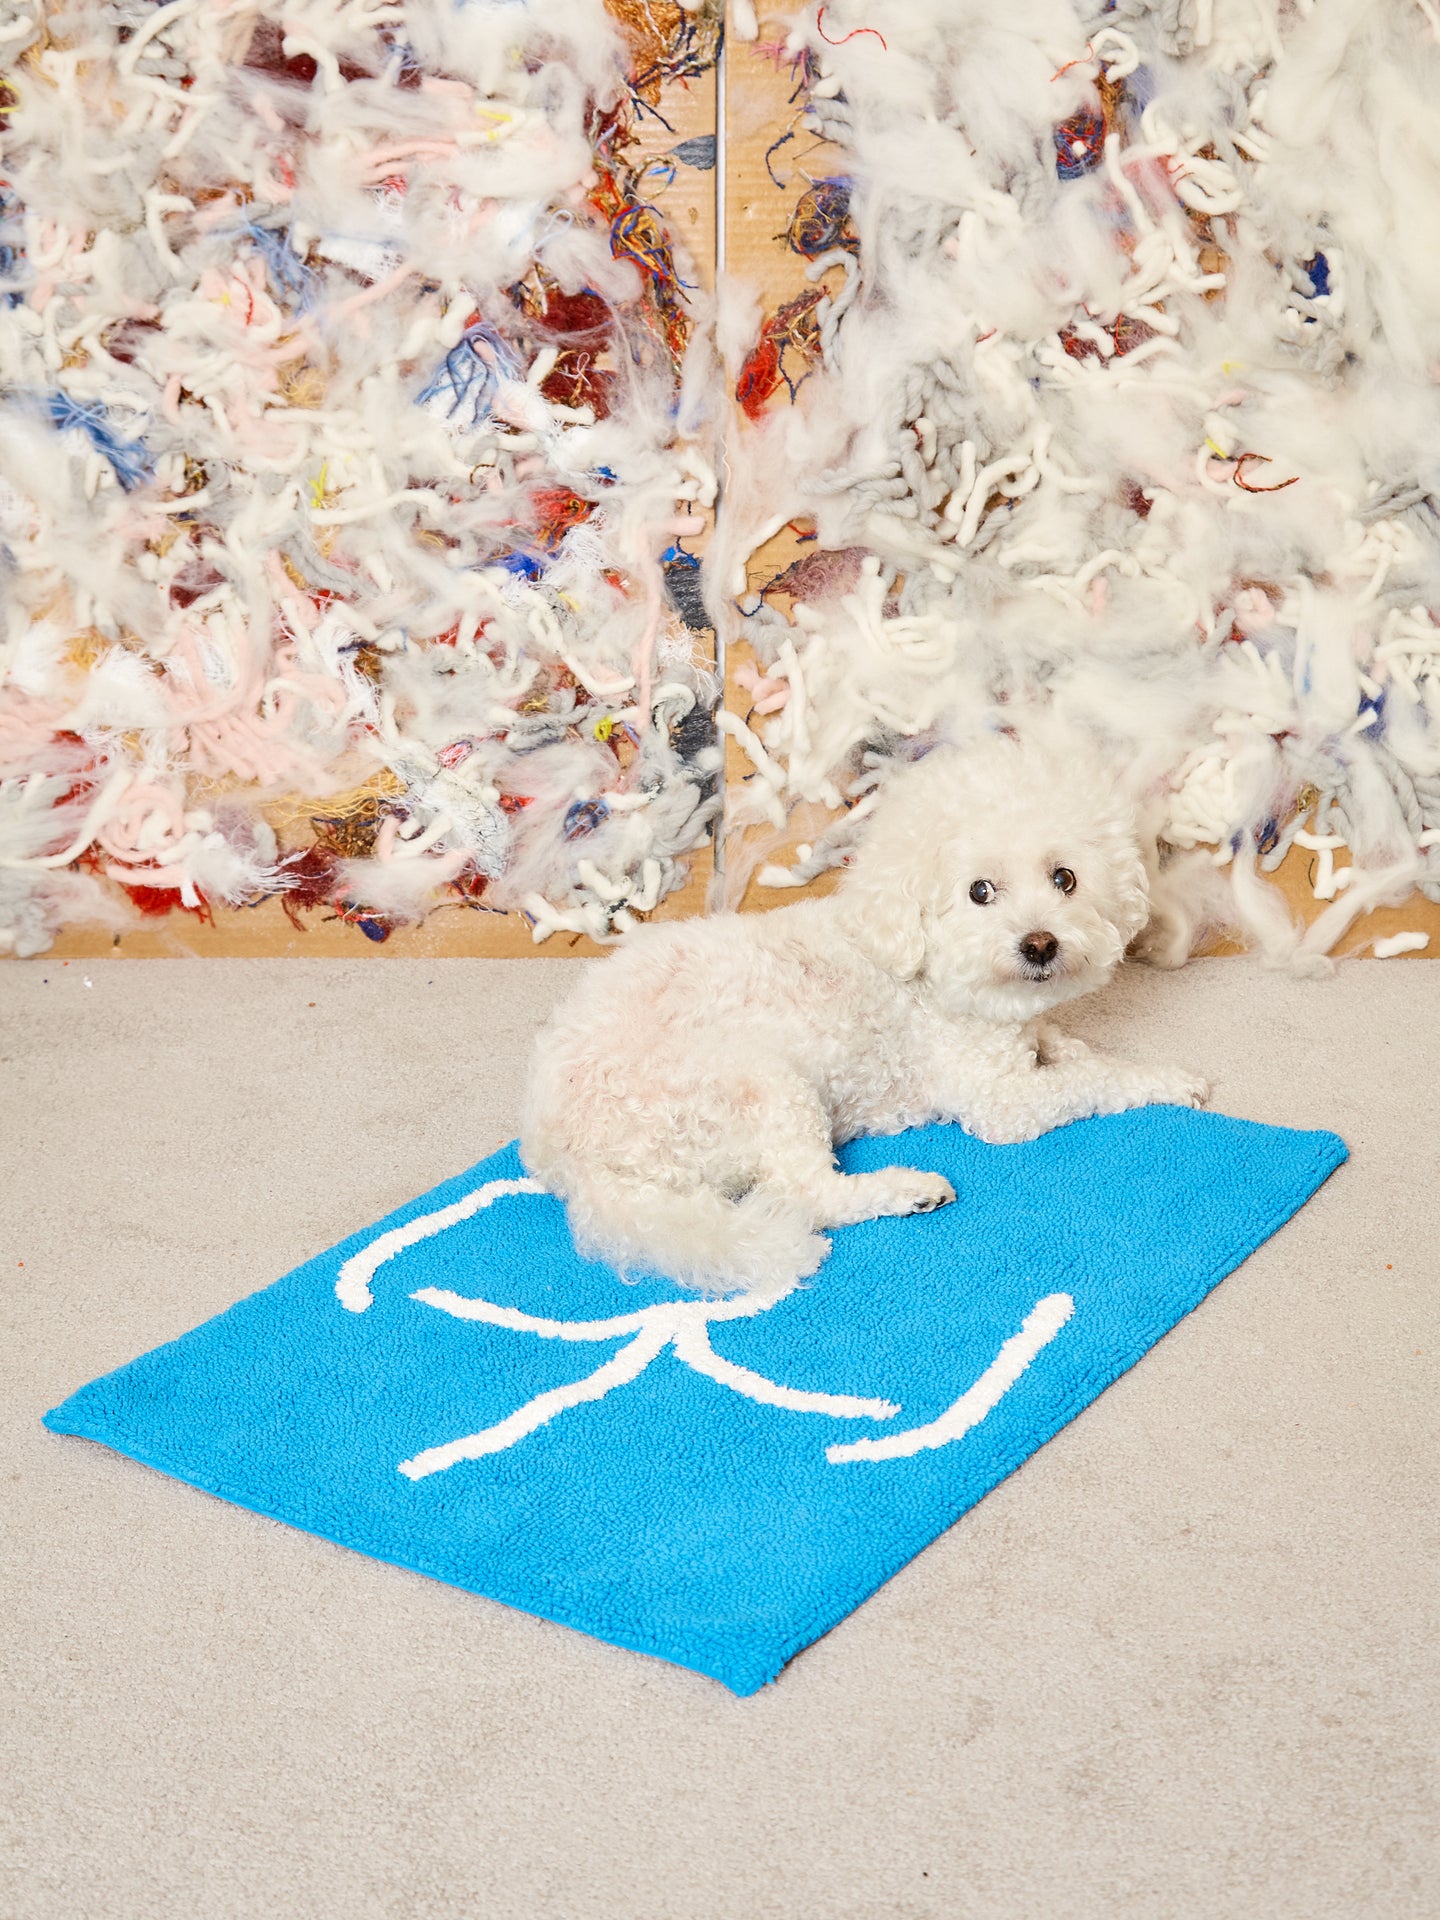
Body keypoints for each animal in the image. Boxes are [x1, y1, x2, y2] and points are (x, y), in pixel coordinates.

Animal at [526, 725, 1213, 1297]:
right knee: (810, 1194)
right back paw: (907, 1190)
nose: (1040, 944)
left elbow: (1068, 1044)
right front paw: (1167, 1079)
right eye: (980, 891)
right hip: (765, 1081)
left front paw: (1082, 1046)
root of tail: (566, 1153)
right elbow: (1090, 1079)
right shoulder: (1001, 1102)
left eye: (1065, 878)